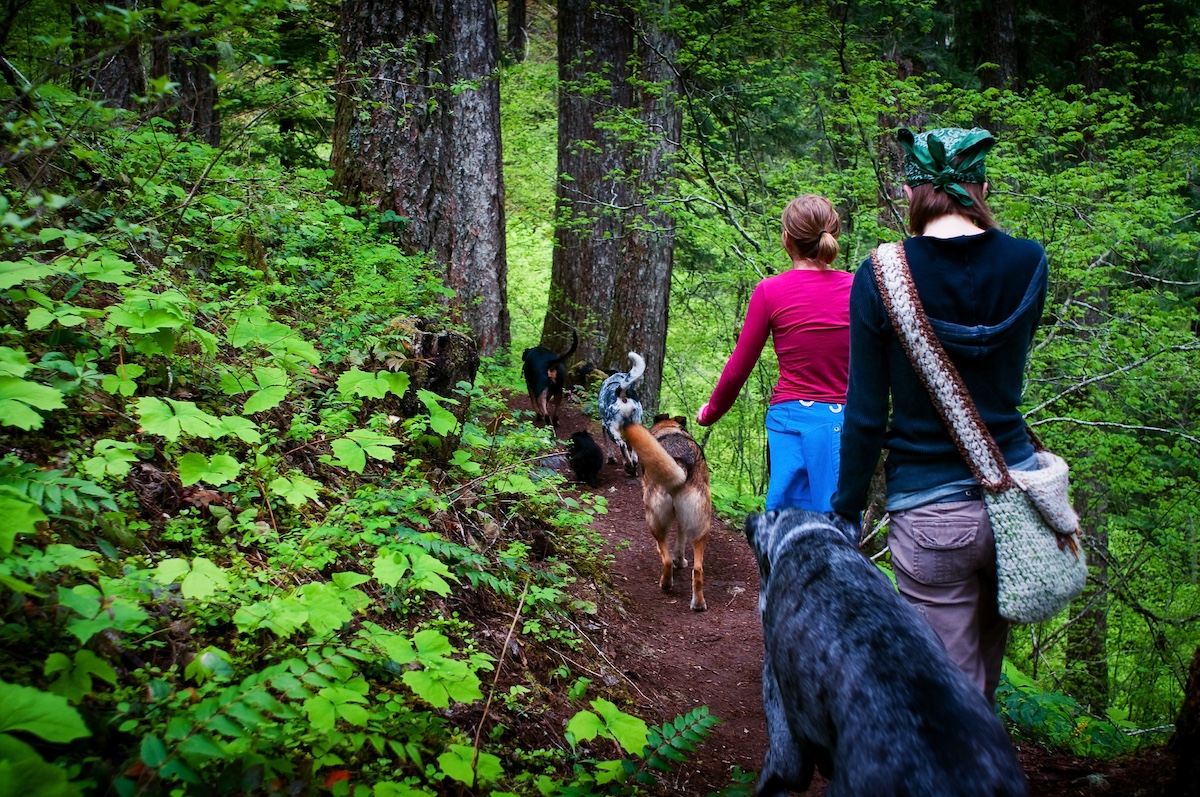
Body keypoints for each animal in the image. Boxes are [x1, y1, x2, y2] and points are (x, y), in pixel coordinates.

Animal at [620, 414, 711, 611]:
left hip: (654, 520)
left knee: (666, 558)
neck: (669, 429)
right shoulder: (683, 523)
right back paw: (698, 603)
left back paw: (666, 583)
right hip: (701, 527)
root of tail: (680, 463)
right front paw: (681, 561)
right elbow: (680, 544)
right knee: (698, 569)